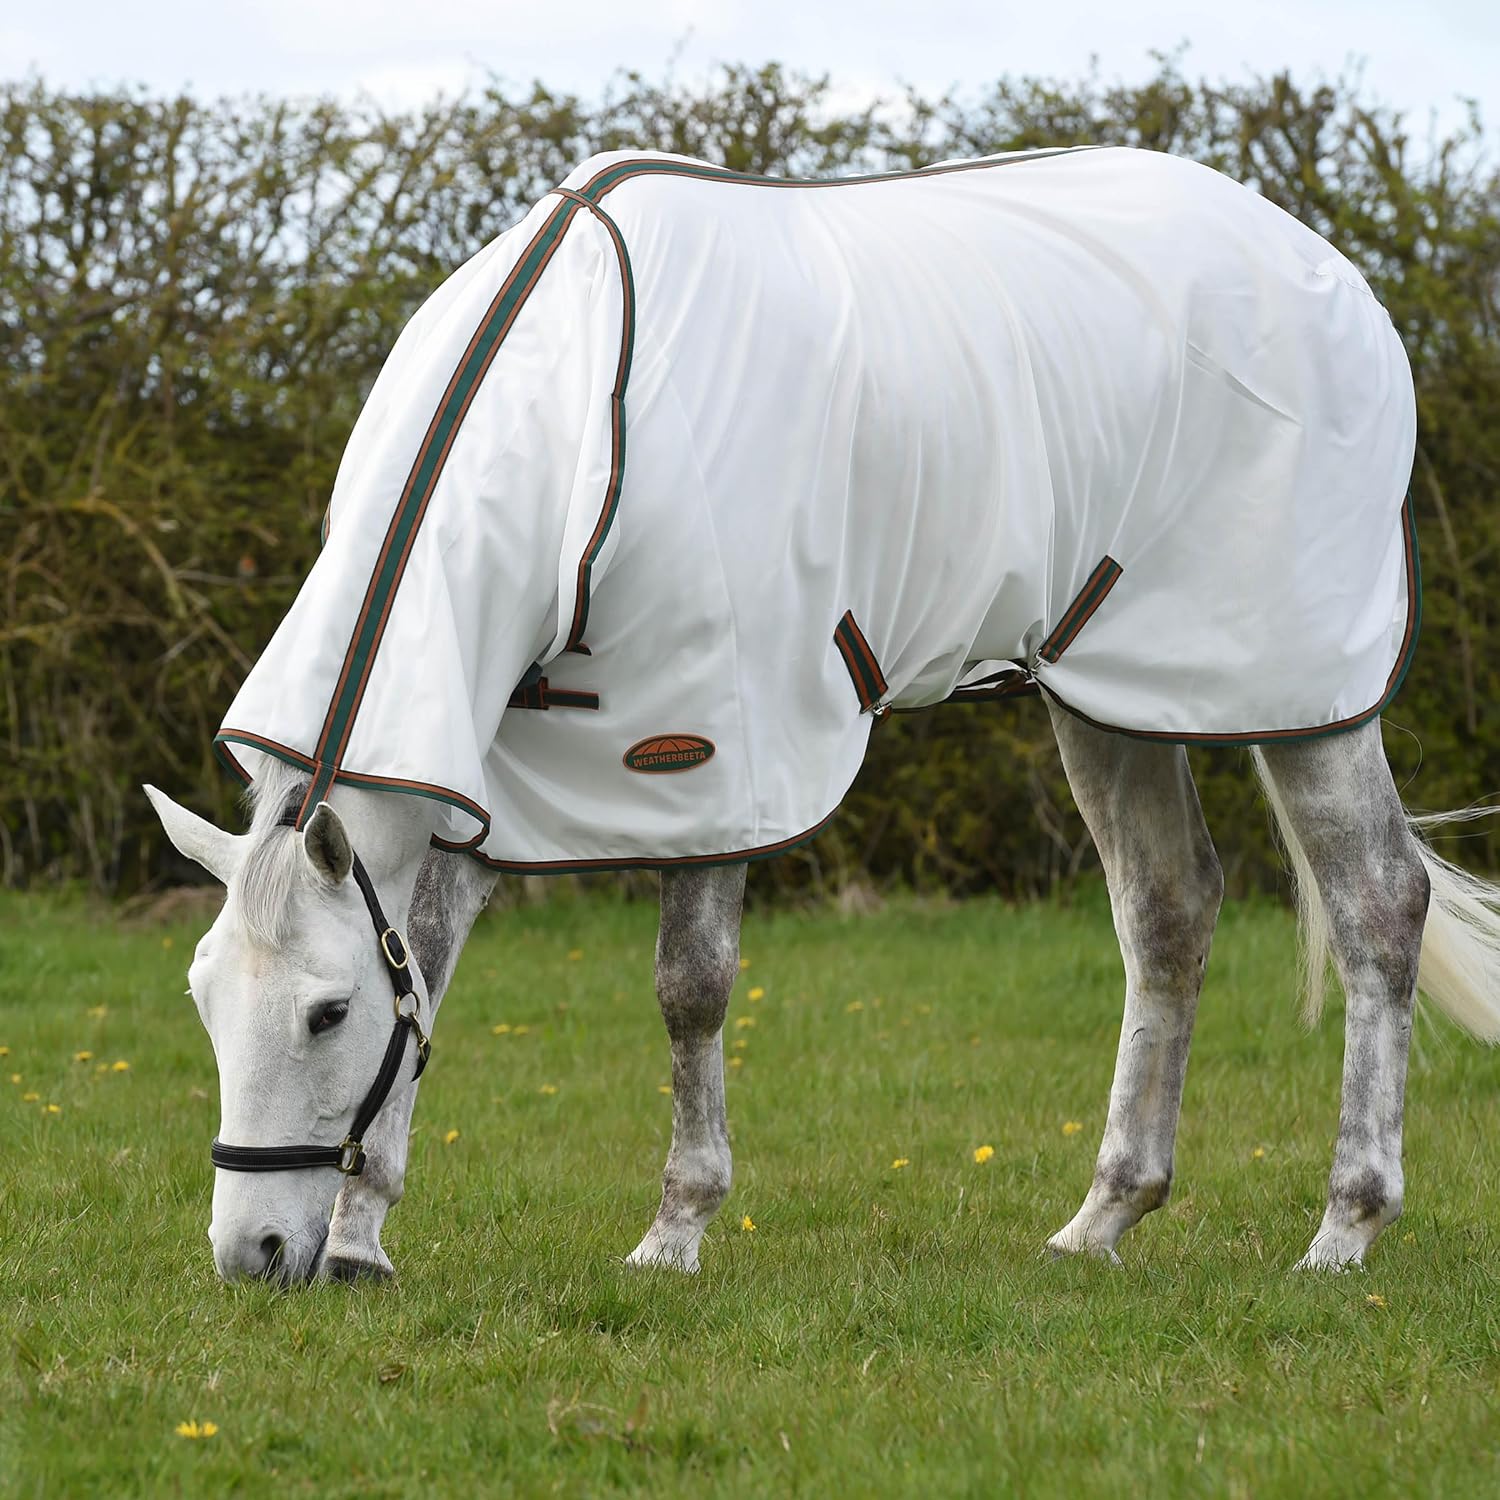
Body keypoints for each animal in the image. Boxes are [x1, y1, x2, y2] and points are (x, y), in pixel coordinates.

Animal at [145, 145, 1500, 1283]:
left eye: (325, 1012)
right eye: (202, 995)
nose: (254, 1254)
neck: (583, 412)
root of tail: (1326, 268)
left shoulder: (710, 752)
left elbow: (689, 989)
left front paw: (675, 1231)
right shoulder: (484, 771)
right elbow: (426, 970)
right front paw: (364, 1239)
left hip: (1303, 695)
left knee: (1378, 906)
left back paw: (1343, 1230)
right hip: (1111, 692)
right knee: (1168, 913)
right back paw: (1102, 1218)